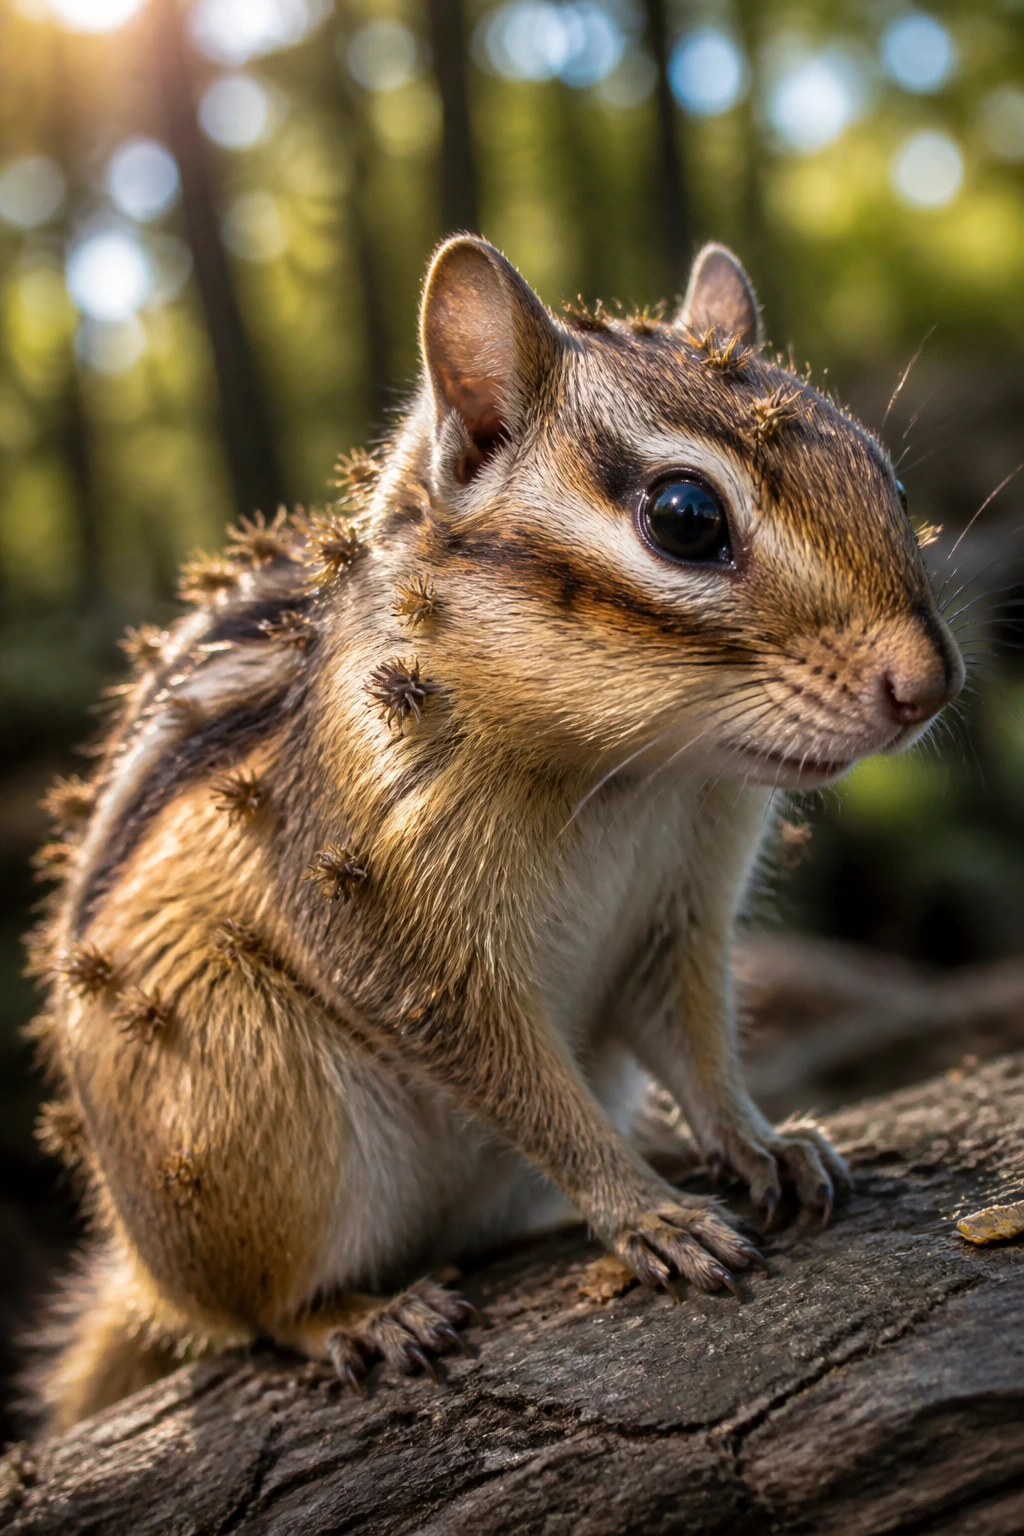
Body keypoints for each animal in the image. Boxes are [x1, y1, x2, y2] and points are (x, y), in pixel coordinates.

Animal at [27, 237, 963, 1429]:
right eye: (685, 517)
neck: (642, 775)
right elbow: (518, 1079)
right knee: (254, 1314)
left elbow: (696, 1040)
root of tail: (148, 1268)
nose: (928, 685)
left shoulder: (678, 914)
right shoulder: (400, 931)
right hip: (246, 1100)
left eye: (886, 474)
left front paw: (760, 1141)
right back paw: (364, 1316)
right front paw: (644, 1211)